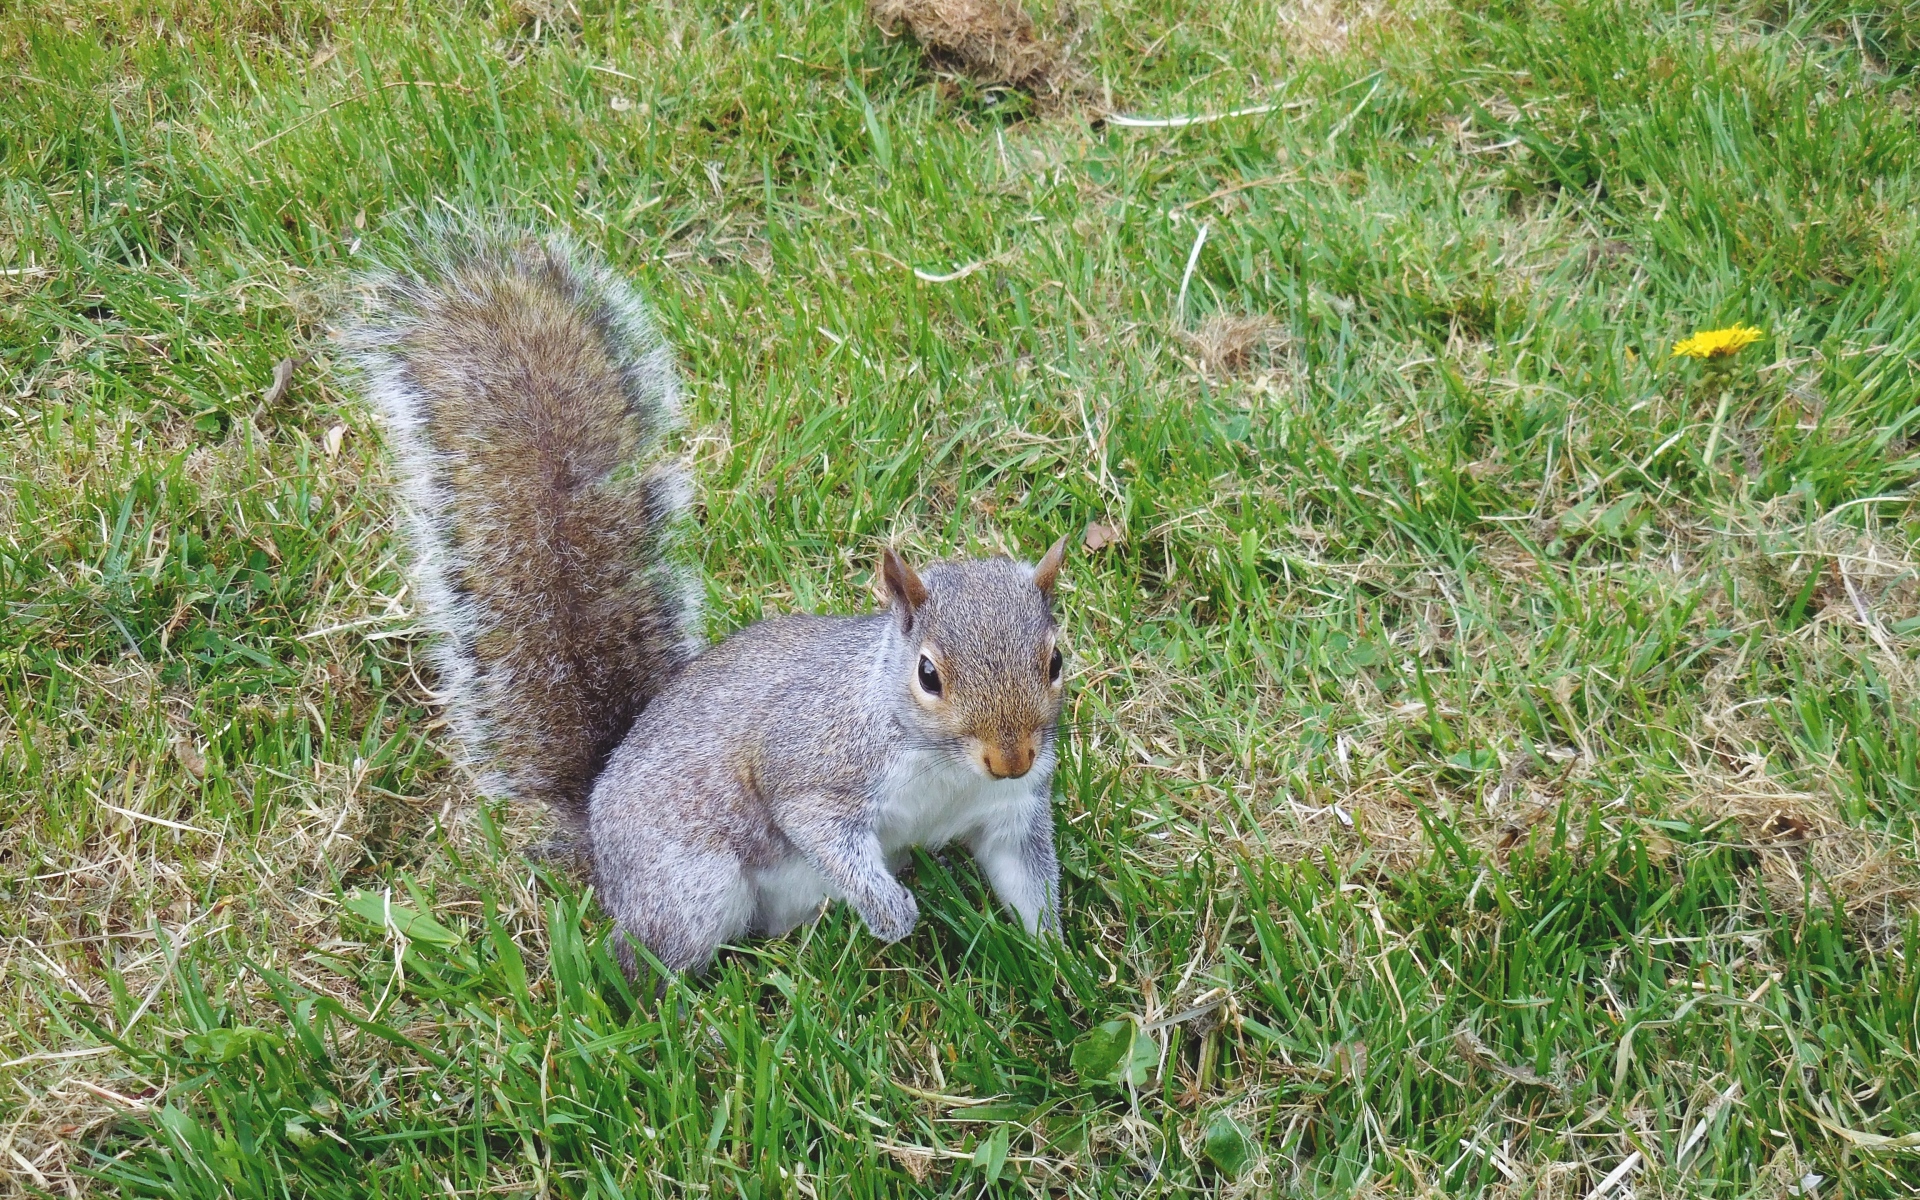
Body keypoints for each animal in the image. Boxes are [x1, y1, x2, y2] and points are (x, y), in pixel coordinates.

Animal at [341, 231, 1067, 975]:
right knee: (650, 961)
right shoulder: (812, 765)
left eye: (1055, 662)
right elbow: (818, 827)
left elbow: (1026, 879)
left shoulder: (1011, 811)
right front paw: (891, 913)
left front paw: (1059, 963)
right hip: (689, 889)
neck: (945, 766)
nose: (1010, 758)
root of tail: (598, 839)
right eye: (928, 674)